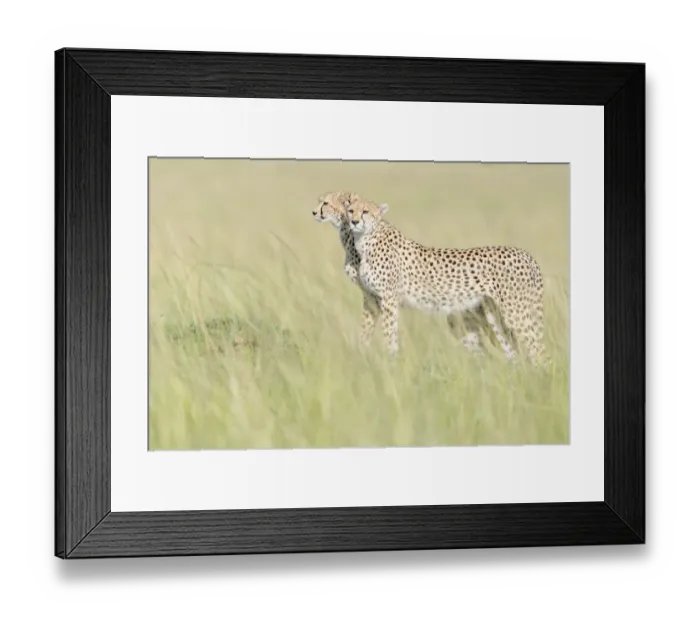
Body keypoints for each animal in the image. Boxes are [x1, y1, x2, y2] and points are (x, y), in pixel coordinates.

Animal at [345, 196, 549, 365]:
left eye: (365, 211)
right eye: (350, 210)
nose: (354, 221)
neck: (366, 239)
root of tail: (525, 254)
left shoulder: (389, 299)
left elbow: (389, 333)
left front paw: (391, 359)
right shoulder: (373, 299)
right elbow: (369, 330)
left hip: (516, 312)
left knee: (538, 347)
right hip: (494, 314)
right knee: (513, 350)